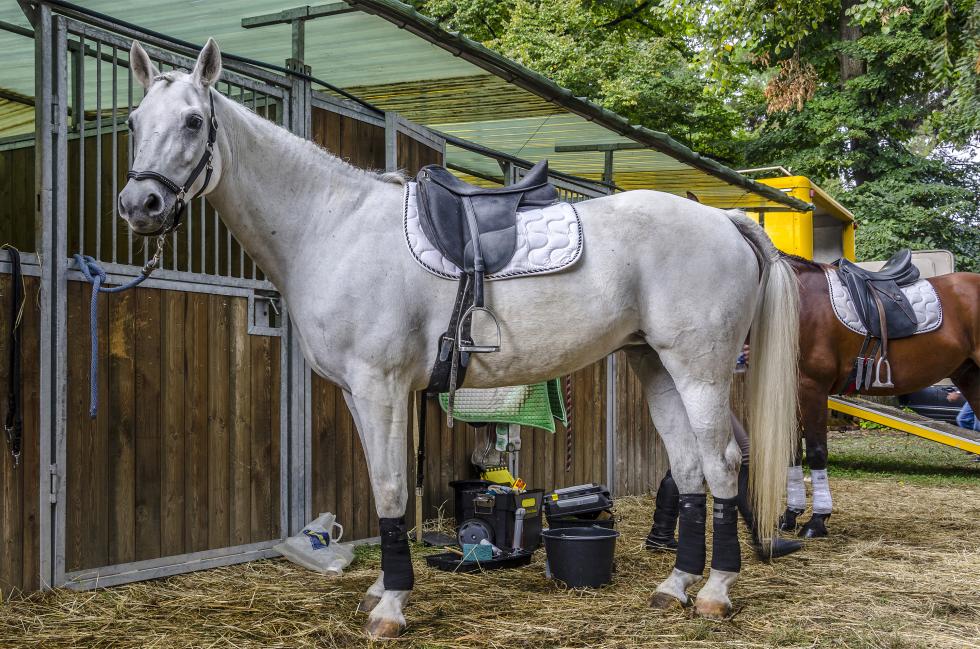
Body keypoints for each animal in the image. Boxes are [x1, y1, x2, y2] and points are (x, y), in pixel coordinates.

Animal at [116, 39, 800, 638]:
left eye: (194, 121)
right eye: (133, 120)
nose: (139, 205)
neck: (332, 225)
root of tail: (725, 219)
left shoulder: (381, 386)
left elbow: (391, 487)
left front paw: (391, 605)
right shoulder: (358, 393)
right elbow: (382, 483)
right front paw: (383, 589)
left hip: (699, 369)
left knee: (721, 464)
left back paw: (715, 592)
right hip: (653, 364)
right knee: (688, 469)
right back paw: (676, 586)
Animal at [779, 256, 980, 538]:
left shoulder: (812, 388)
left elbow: (817, 451)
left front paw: (817, 521)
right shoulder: (791, 393)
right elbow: (792, 452)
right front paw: (790, 516)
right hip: (970, 377)